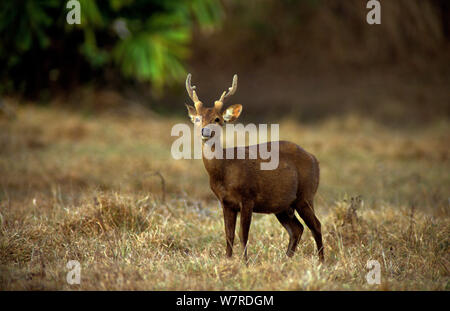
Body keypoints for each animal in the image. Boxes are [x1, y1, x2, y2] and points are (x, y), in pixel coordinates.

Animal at [184, 73, 324, 264]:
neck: (225, 169)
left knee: (316, 225)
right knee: (297, 229)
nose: (205, 131)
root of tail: (314, 159)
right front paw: (228, 260)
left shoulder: (247, 197)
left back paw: (322, 261)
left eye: (217, 119)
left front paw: (245, 262)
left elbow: (243, 234)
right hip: (283, 205)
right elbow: (228, 235)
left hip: (306, 194)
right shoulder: (225, 202)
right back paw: (285, 260)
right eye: (197, 118)